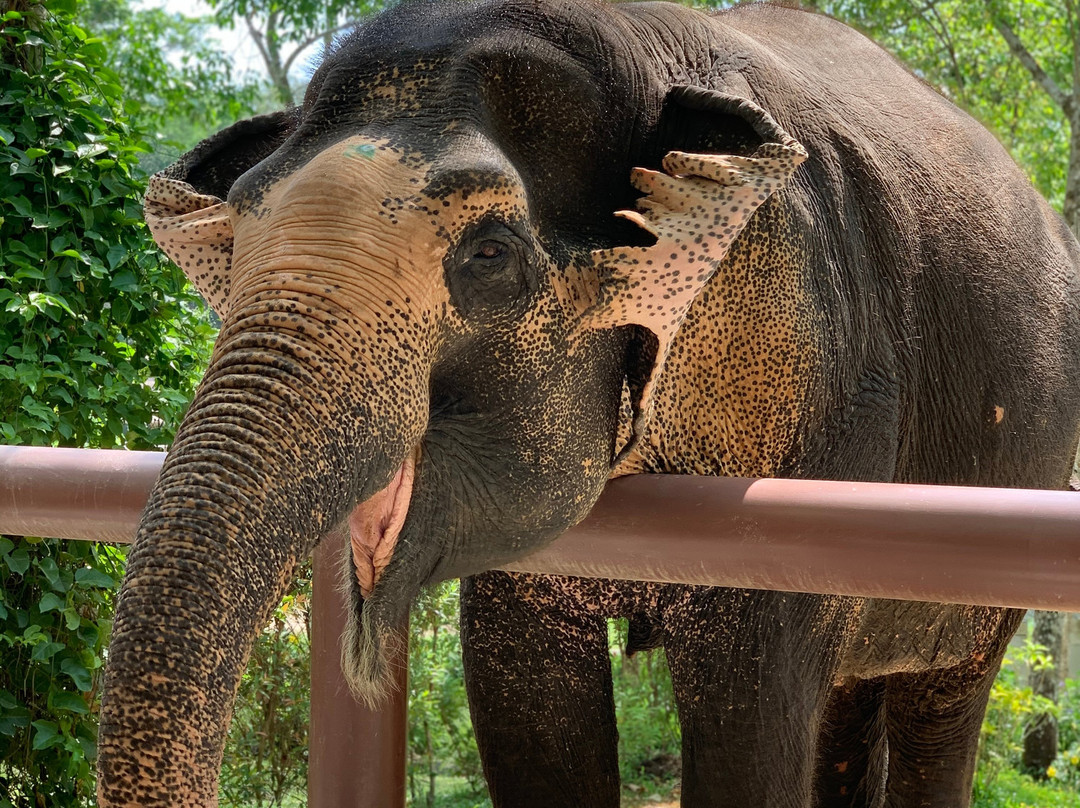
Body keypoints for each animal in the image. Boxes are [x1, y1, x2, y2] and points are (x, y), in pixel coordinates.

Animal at [96, 0, 1080, 806]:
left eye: (489, 255)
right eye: (237, 233)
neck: (634, 41)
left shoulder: (823, 390)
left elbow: (752, 720)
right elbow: (527, 704)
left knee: (939, 706)